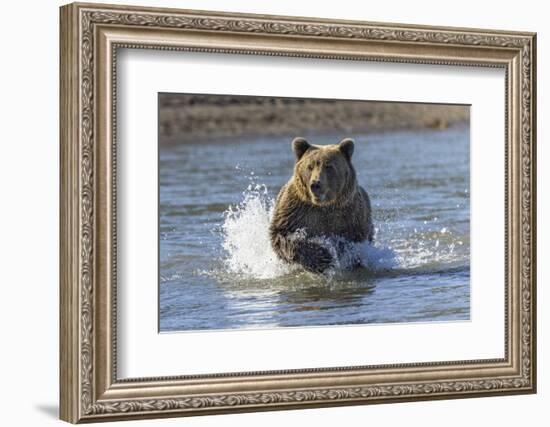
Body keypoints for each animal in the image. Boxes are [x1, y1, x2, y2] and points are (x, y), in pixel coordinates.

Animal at [270, 139, 376, 276]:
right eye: (310, 166)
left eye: (329, 166)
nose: (315, 184)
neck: (323, 206)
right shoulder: (295, 212)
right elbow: (283, 235)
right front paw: (323, 257)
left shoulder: (351, 216)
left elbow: (352, 243)